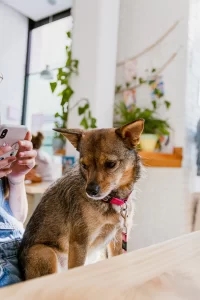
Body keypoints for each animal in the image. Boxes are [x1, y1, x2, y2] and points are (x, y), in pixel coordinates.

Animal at [18, 119, 144, 278]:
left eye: (111, 164)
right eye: (84, 165)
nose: (90, 191)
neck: (111, 200)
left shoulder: (117, 239)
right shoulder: (80, 242)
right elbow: (77, 268)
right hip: (44, 252)